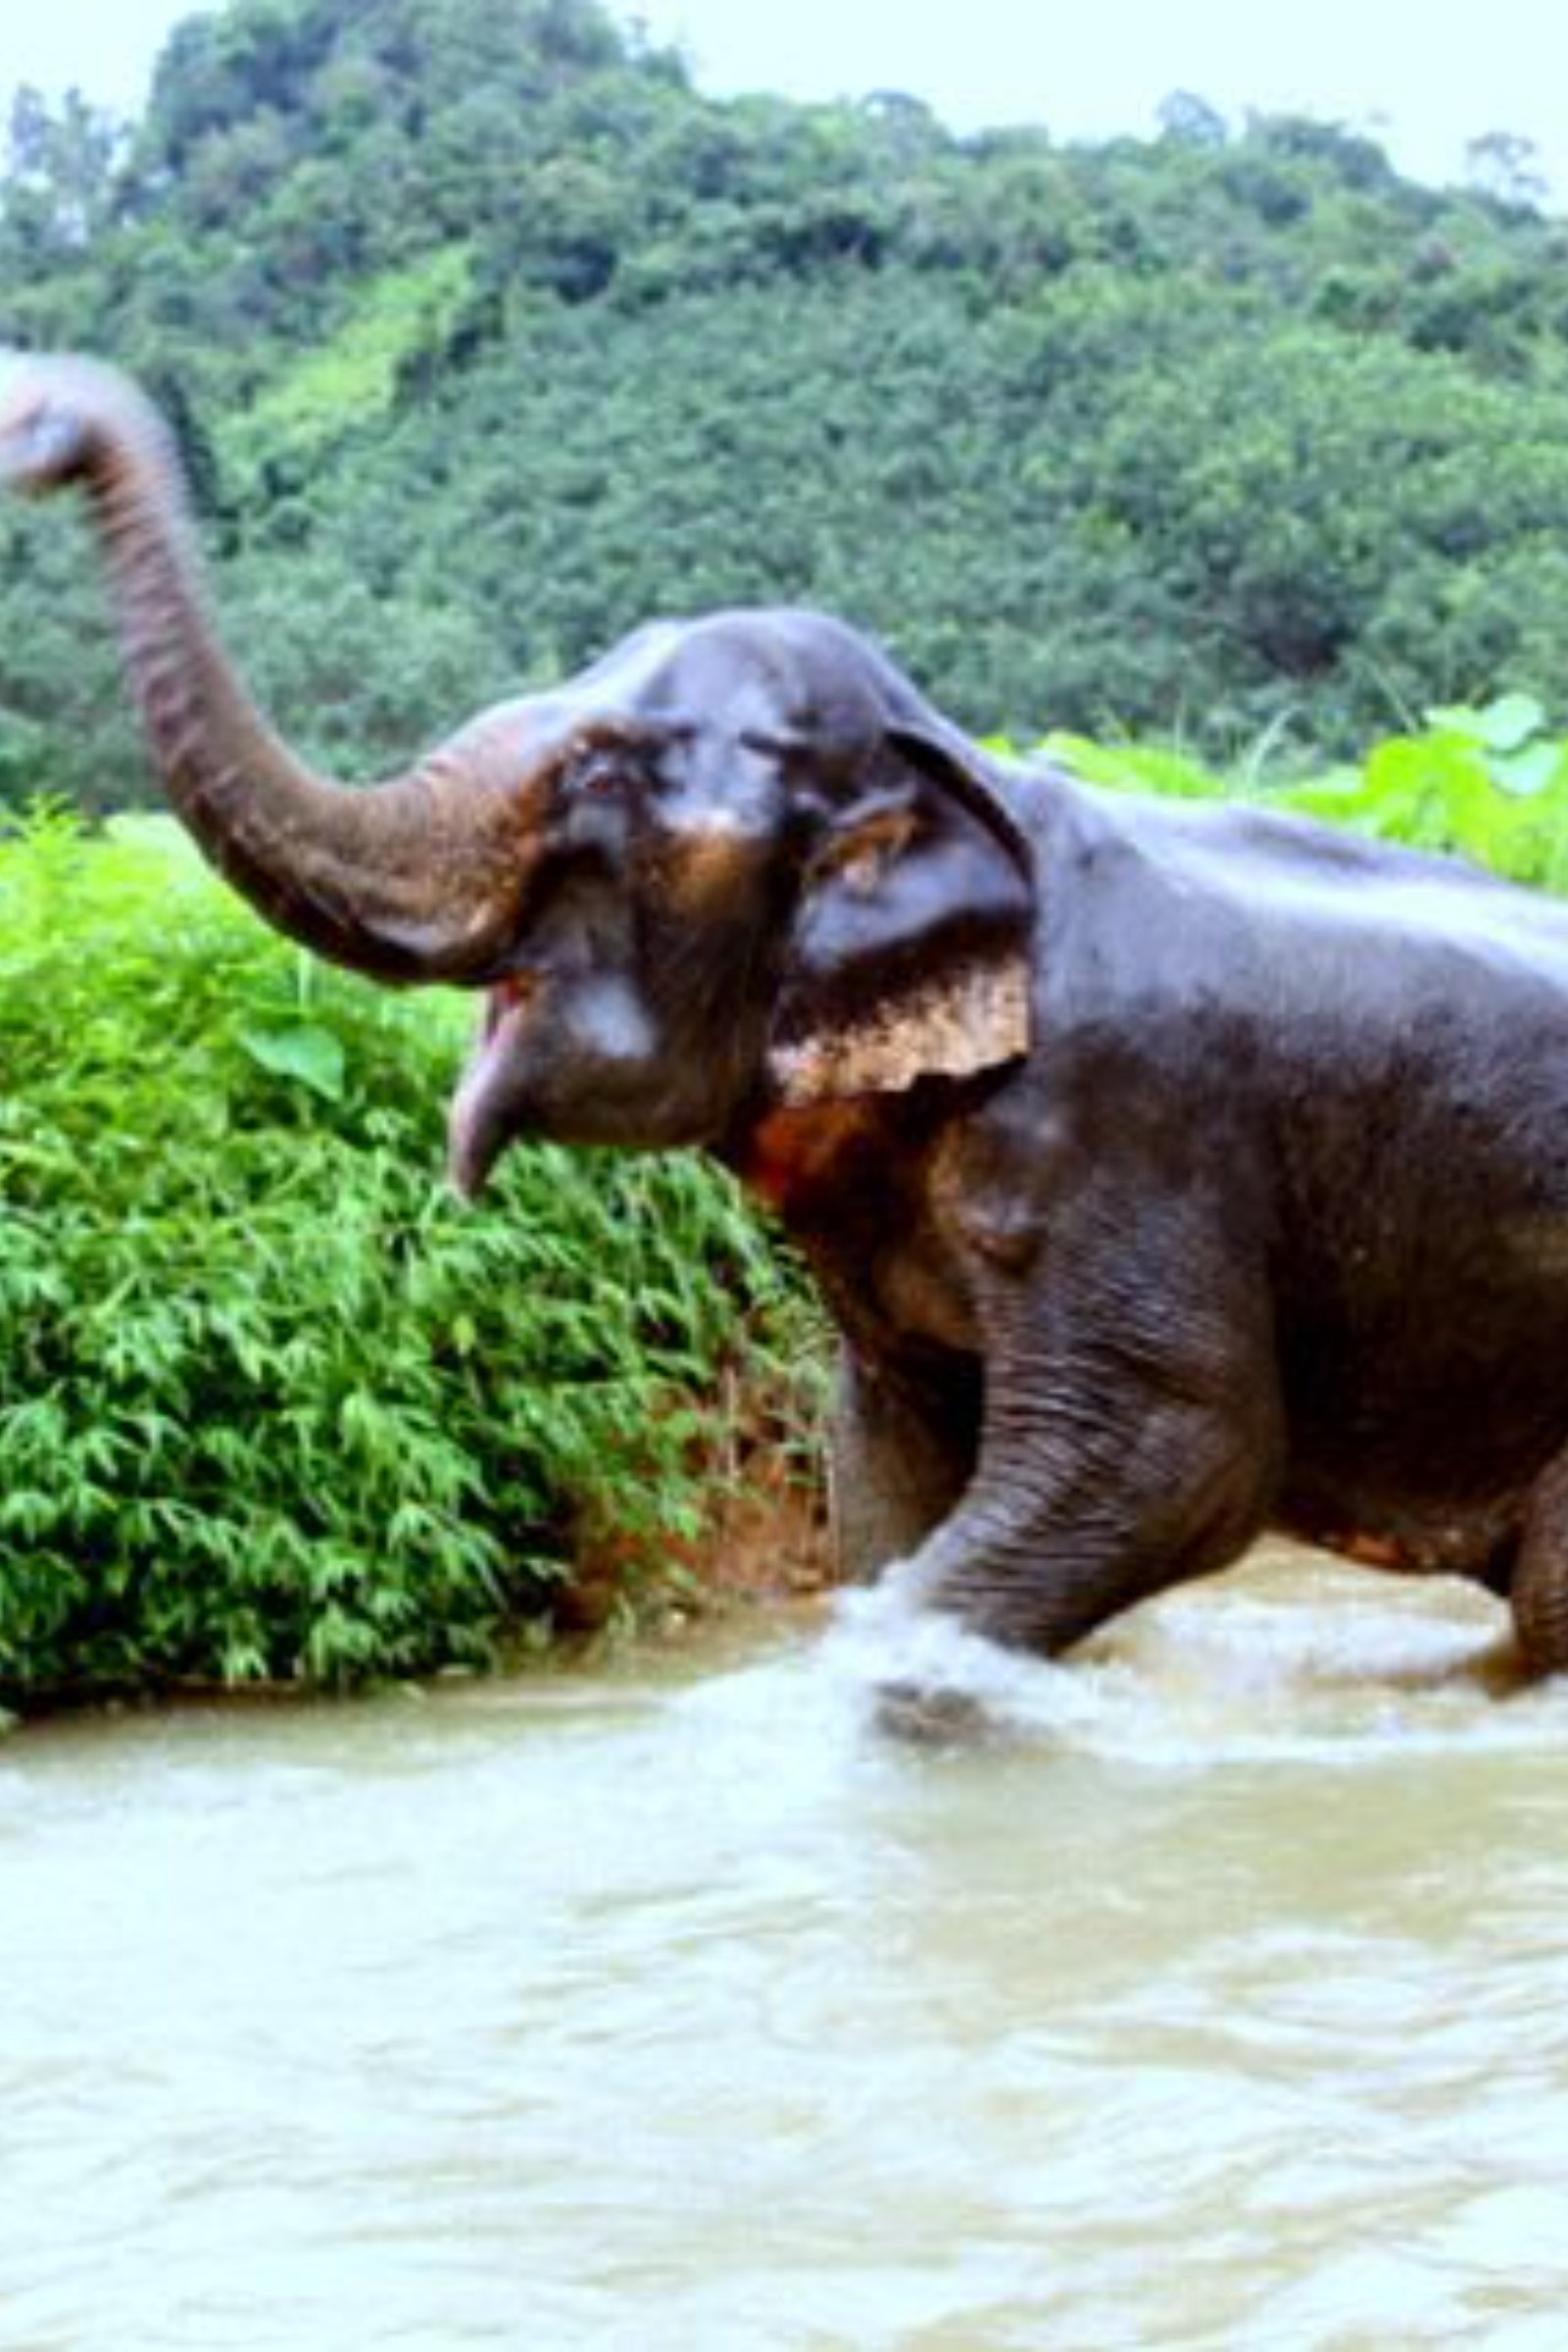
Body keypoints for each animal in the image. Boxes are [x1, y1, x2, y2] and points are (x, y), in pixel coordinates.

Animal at [7, 349, 1568, 1694]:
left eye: (600, 774)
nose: (36, 421)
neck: (965, 770)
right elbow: (888, 1467)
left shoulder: (1128, 1129)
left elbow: (1178, 1454)